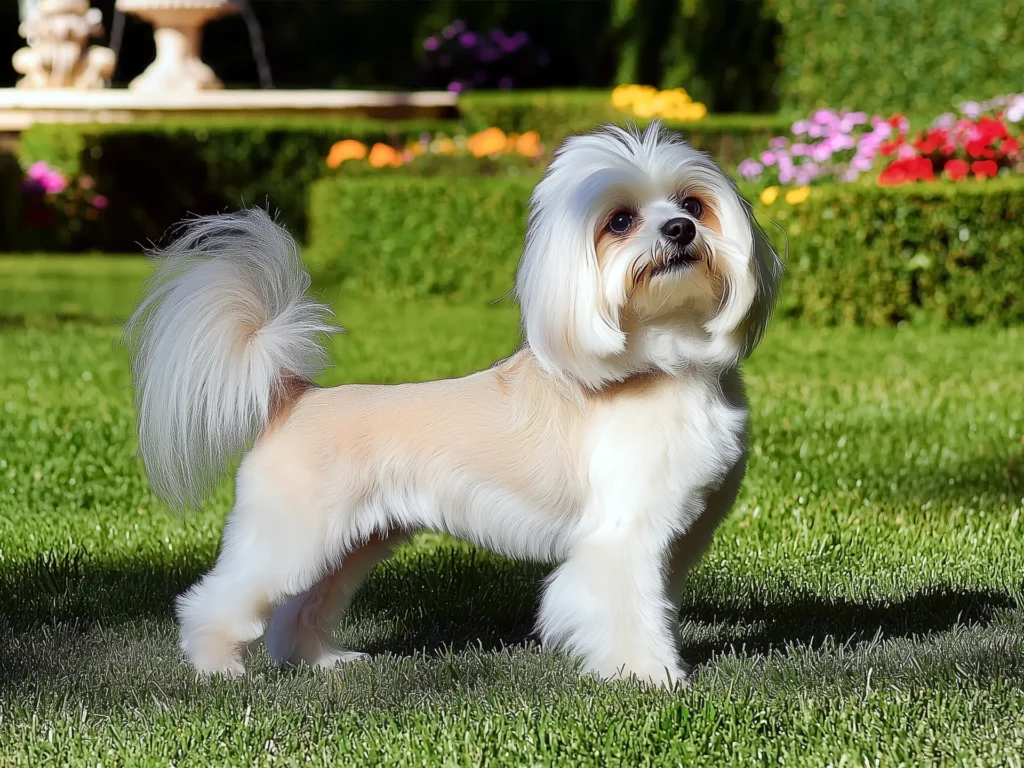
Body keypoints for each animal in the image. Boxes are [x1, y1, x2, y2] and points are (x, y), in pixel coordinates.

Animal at [128, 123, 782, 688]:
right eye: (620, 221)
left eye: (693, 205)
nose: (679, 230)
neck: (665, 364)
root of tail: (295, 396)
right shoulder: (621, 536)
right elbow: (624, 609)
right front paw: (648, 675)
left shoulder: (676, 536)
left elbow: (654, 605)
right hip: (291, 536)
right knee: (217, 598)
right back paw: (215, 664)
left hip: (350, 544)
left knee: (300, 609)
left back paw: (322, 660)